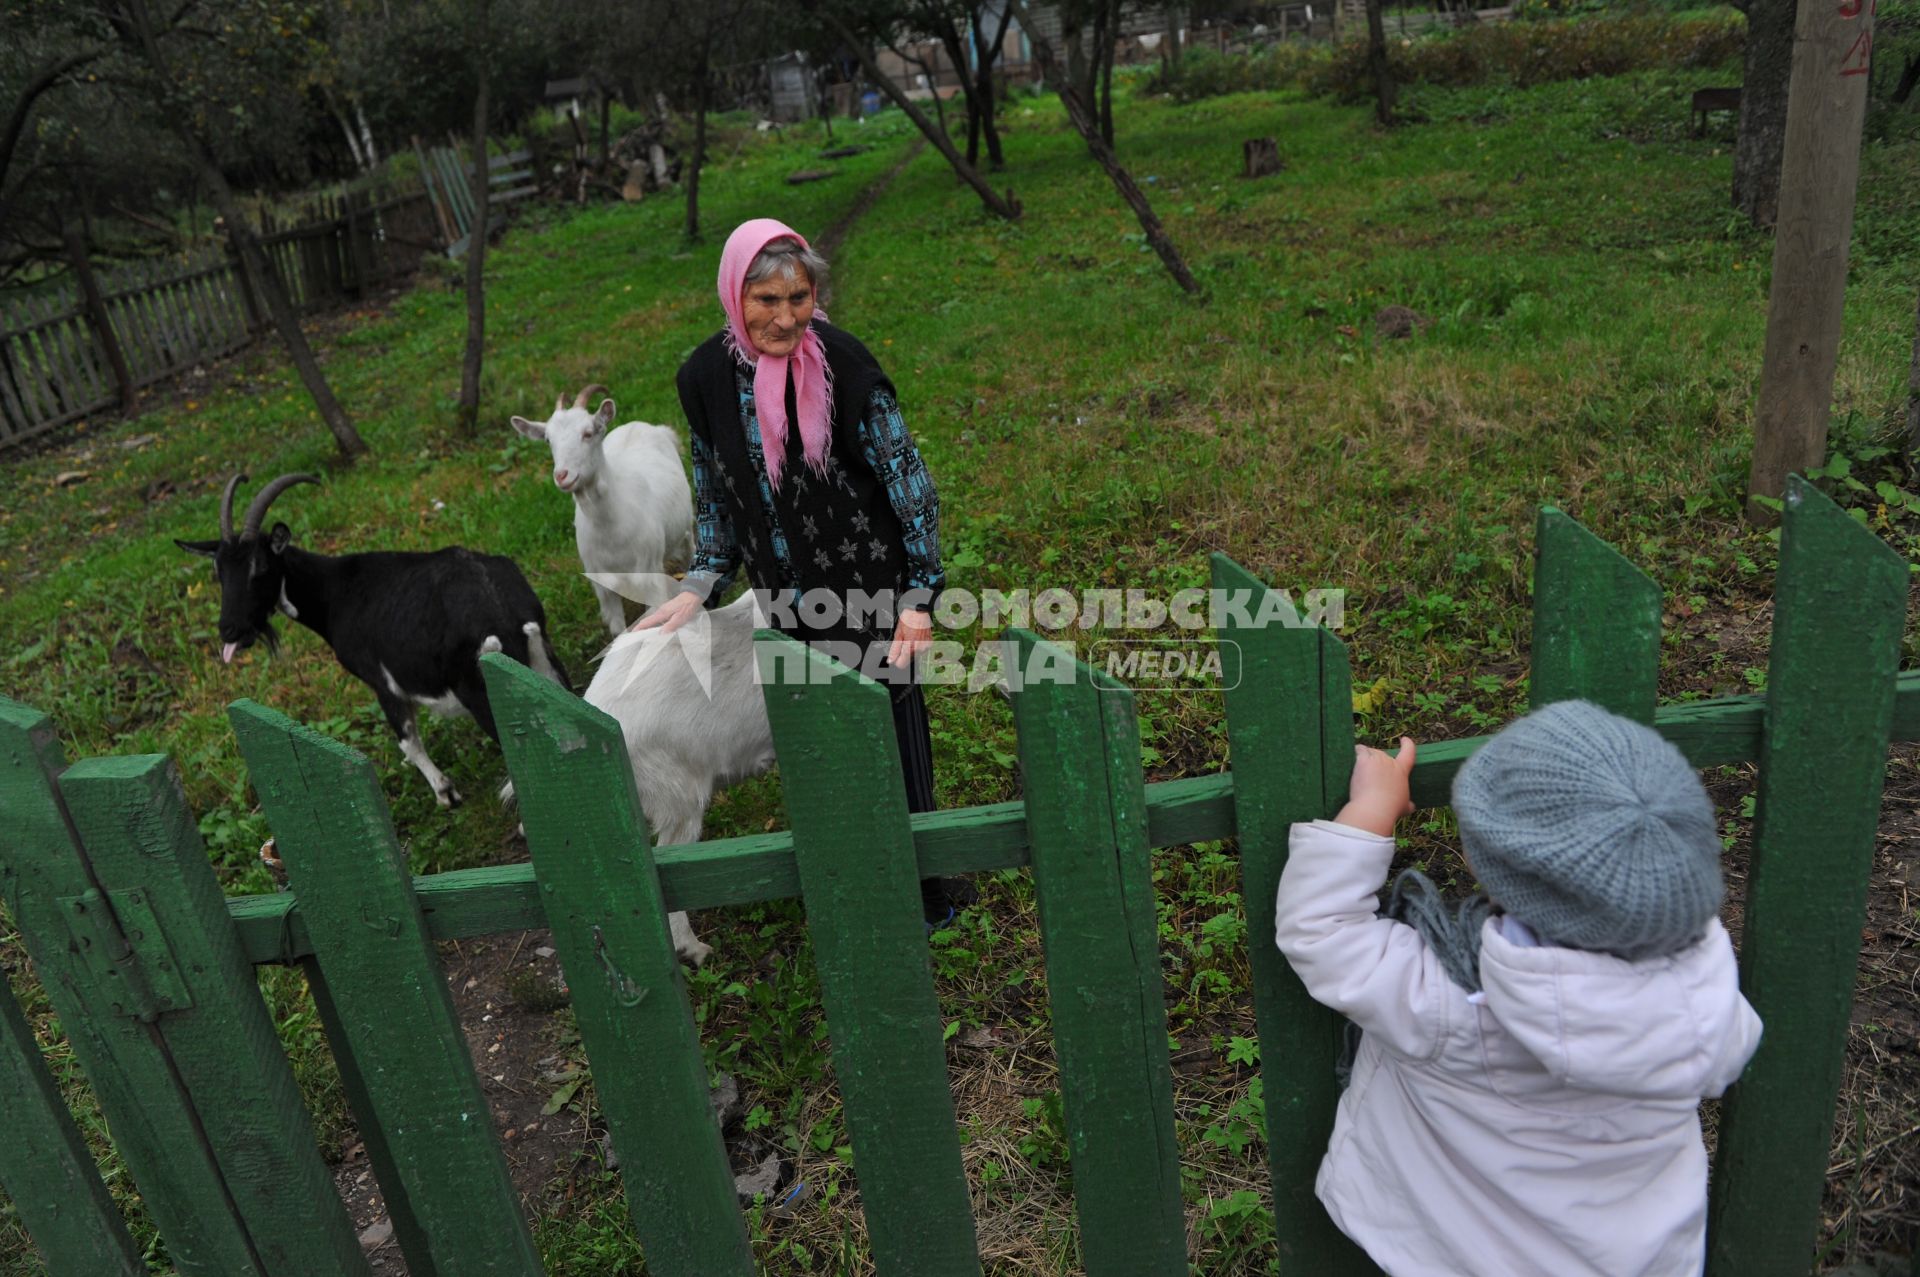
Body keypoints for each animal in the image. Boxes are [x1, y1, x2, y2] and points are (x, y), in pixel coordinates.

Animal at [177, 472, 568, 802]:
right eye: (218, 570)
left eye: (258, 567)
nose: (229, 629)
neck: (336, 592)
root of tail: (503, 610)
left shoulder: (382, 682)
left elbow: (408, 743)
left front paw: (446, 793)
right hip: (543, 664)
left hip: (480, 689)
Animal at [506, 380, 695, 633]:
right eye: (548, 440)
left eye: (588, 433)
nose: (562, 475)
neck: (612, 527)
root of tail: (643, 426)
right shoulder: (603, 585)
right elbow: (618, 630)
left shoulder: (650, 575)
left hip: (687, 526)